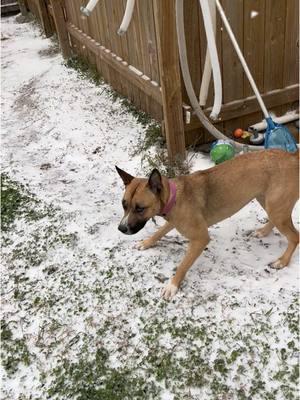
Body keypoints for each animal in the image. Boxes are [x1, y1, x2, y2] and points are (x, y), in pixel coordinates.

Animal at [116, 148, 298, 298]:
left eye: (140, 208)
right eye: (124, 205)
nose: (121, 228)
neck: (173, 198)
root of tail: (292, 157)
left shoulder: (200, 239)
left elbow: (183, 265)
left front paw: (172, 285)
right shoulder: (173, 221)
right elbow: (159, 232)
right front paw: (146, 243)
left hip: (276, 208)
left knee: (295, 237)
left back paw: (282, 261)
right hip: (267, 201)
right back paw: (263, 231)